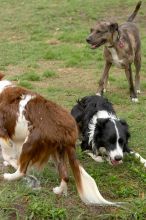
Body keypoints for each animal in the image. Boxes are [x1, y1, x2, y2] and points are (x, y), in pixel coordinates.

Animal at [0, 73, 118, 205]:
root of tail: (67, 130)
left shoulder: (3, 133)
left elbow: (7, 154)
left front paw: (11, 162)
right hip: (58, 151)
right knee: (65, 175)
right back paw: (58, 190)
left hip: (30, 143)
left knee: (22, 171)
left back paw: (9, 176)